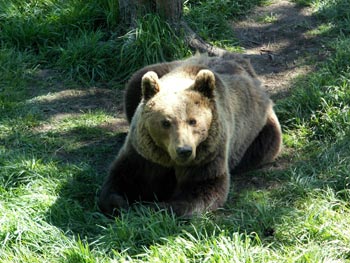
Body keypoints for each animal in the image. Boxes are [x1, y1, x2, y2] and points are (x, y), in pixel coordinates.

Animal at [98, 52, 282, 218]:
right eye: (166, 122)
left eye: (193, 121)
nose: (184, 150)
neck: (169, 160)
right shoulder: (144, 153)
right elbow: (123, 176)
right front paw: (119, 204)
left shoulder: (207, 155)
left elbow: (202, 188)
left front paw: (155, 208)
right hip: (157, 69)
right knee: (134, 83)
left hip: (261, 130)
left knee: (262, 147)